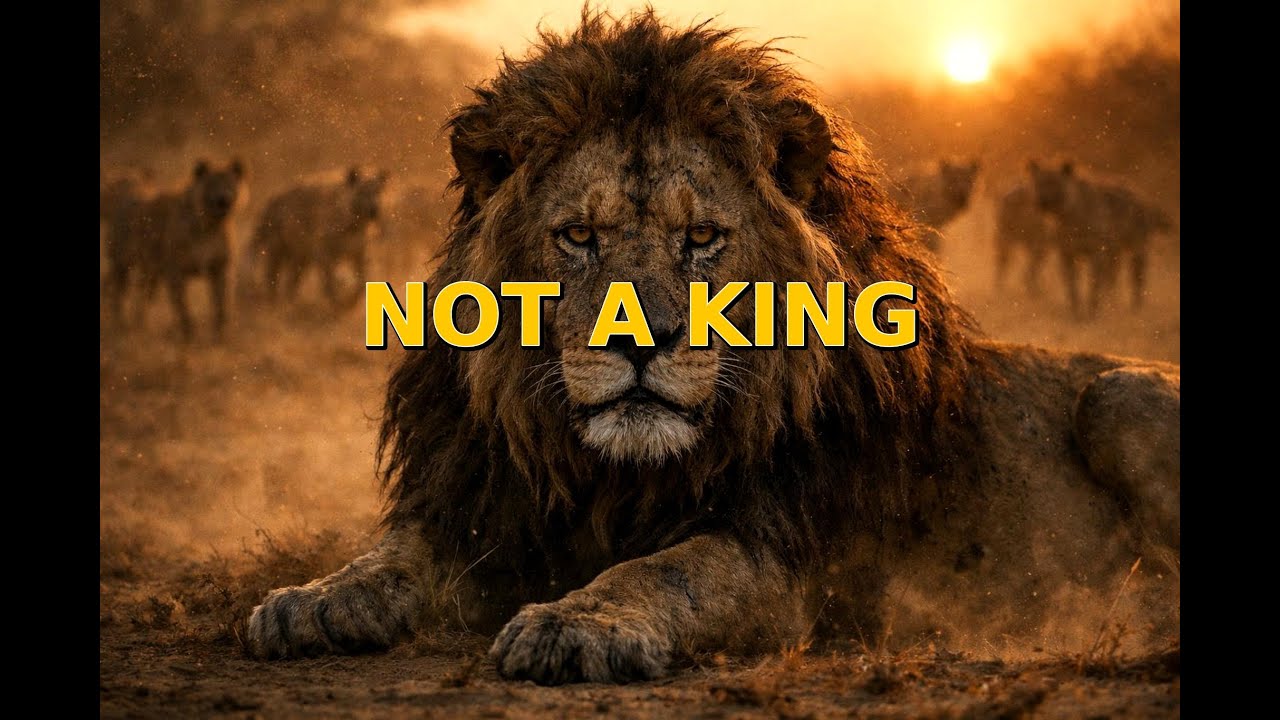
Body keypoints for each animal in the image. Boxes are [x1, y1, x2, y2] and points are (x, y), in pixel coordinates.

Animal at [104, 159, 245, 339]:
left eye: (230, 184)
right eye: (211, 184)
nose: (223, 200)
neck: (210, 226)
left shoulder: (220, 268)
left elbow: (222, 306)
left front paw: (220, 337)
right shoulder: (174, 270)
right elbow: (183, 307)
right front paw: (189, 337)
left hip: (150, 272)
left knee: (141, 297)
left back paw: (140, 327)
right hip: (121, 263)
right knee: (117, 296)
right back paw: (119, 327)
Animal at [250, 168, 388, 307]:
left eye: (377, 192)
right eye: (361, 192)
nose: (374, 210)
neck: (356, 226)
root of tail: (273, 199)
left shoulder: (358, 254)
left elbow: (361, 281)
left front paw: (352, 300)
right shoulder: (323, 253)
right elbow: (330, 281)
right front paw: (337, 303)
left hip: (300, 257)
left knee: (290, 282)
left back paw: (290, 304)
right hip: (278, 249)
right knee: (271, 277)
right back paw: (274, 304)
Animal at [1027, 160, 1173, 317]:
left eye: (1055, 183)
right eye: (1038, 184)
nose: (1041, 201)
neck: (1068, 218)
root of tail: (1142, 197)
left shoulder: (1096, 253)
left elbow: (1094, 283)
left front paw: (1092, 313)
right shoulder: (1066, 253)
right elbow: (1072, 284)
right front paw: (1075, 312)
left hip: (1137, 249)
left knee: (1137, 276)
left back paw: (1135, 308)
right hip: (1114, 253)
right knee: (1113, 277)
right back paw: (1112, 302)